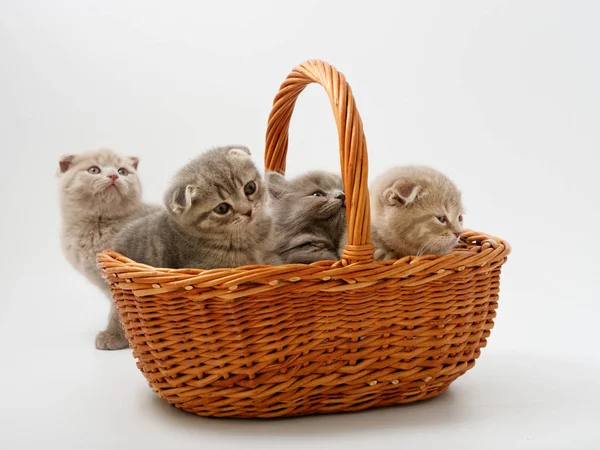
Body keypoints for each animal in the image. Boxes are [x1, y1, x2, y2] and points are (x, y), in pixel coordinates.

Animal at [56, 149, 157, 352]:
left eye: (122, 171)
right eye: (94, 170)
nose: (113, 176)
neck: (99, 225)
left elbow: (119, 312)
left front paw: (114, 336)